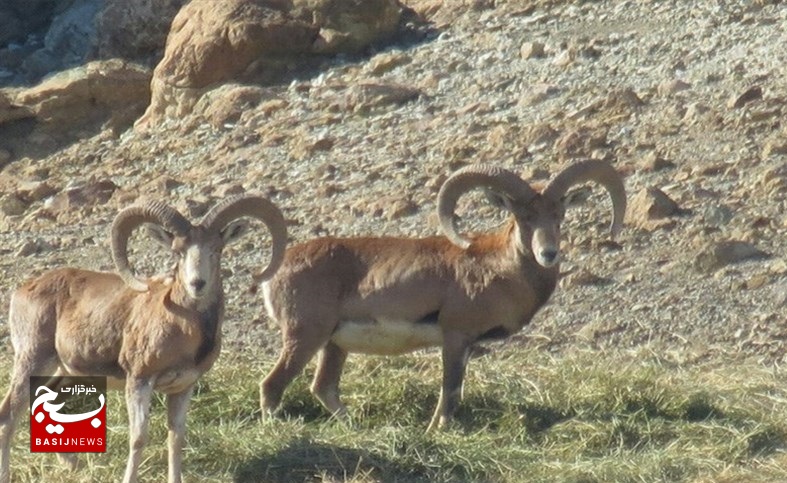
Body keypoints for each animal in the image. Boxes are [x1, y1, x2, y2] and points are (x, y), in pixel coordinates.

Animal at [0, 195, 286, 483]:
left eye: (216, 249)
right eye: (178, 252)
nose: (197, 284)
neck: (182, 329)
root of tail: (23, 291)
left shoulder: (182, 388)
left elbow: (176, 439)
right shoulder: (139, 381)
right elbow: (138, 438)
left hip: (64, 373)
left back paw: (73, 464)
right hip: (33, 362)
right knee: (8, 416)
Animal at [262, 161, 624, 430]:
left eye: (558, 216)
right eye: (524, 218)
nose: (548, 253)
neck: (498, 269)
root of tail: (274, 273)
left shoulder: (466, 346)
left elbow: (455, 392)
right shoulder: (455, 337)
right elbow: (449, 391)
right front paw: (437, 430)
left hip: (334, 345)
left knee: (323, 387)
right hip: (305, 337)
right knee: (273, 386)